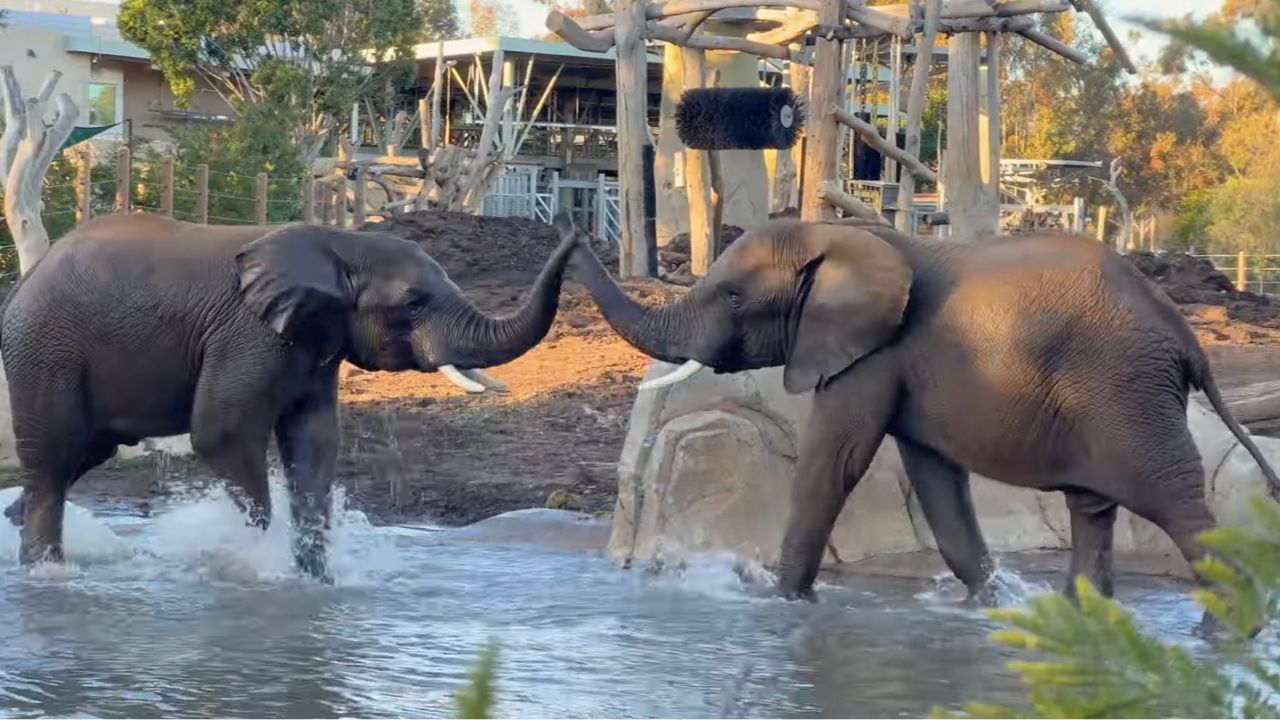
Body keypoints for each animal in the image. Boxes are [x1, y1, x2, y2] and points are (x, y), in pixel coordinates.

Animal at [1, 213, 577, 581]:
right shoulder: (247, 334)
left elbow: (314, 443)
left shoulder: (317, 342)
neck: (342, 244)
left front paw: (315, 581)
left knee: (81, 457)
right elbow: (221, 433)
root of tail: (27, 279)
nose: (575, 234)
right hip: (45, 352)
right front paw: (260, 562)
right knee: (53, 462)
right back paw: (46, 574)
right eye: (413, 305)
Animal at [551, 211, 1280, 605]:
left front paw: (781, 601)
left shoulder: (872, 352)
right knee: (1093, 511)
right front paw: (989, 606)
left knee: (1177, 507)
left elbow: (835, 463)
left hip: (1127, 392)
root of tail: (1187, 335)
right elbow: (935, 481)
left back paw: (1226, 634)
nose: (569, 237)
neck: (837, 234)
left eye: (733, 296)